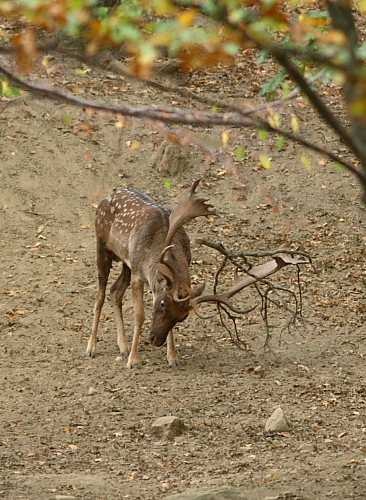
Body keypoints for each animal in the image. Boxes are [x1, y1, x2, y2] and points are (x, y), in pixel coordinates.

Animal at [86, 180, 308, 368]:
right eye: (161, 305)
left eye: (181, 317)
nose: (155, 340)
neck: (154, 250)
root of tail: (107, 198)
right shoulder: (138, 273)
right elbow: (139, 315)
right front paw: (133, 362)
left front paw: (172, 358)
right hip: (102, 247)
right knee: (100, 294)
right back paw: (91, 348)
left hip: (125, 262)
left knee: (115, 291)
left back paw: (122, 346)